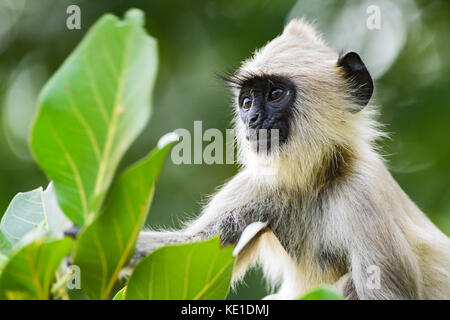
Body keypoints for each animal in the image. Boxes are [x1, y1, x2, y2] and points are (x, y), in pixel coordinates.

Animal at [134, 20, 450, 300]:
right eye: (247, 101)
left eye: (275, 94)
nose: (252, 119)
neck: (315, 181)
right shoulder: (258, 186)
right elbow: (191, 249)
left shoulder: (363, 194)